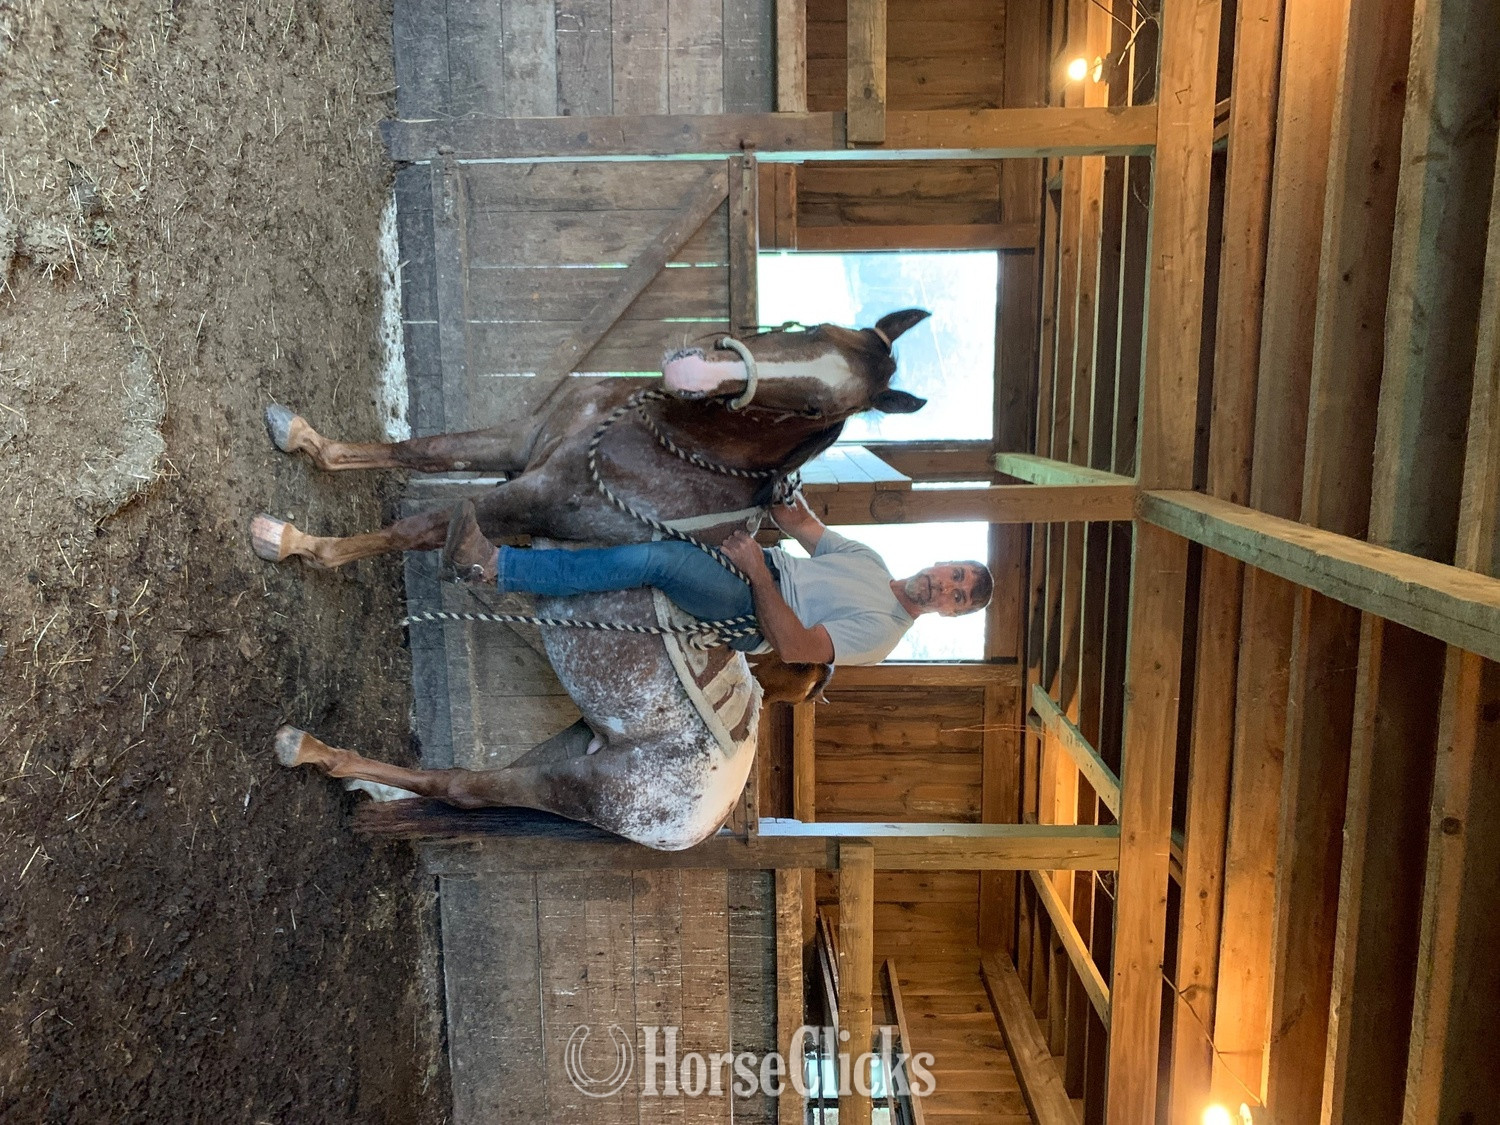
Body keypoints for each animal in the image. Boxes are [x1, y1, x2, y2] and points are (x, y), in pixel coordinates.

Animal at [254, 309, 929, 850]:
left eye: (818, 407)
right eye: (813, 330)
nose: (696, 373)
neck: (665, 447)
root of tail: (708, 820)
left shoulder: (527, 502)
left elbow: (413, 527)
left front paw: (292, 544)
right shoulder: (523, 442)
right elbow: (424, 451)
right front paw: (303, 438)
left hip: (572, 784)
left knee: (465, 787)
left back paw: (308, 749)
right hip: (572, 744)